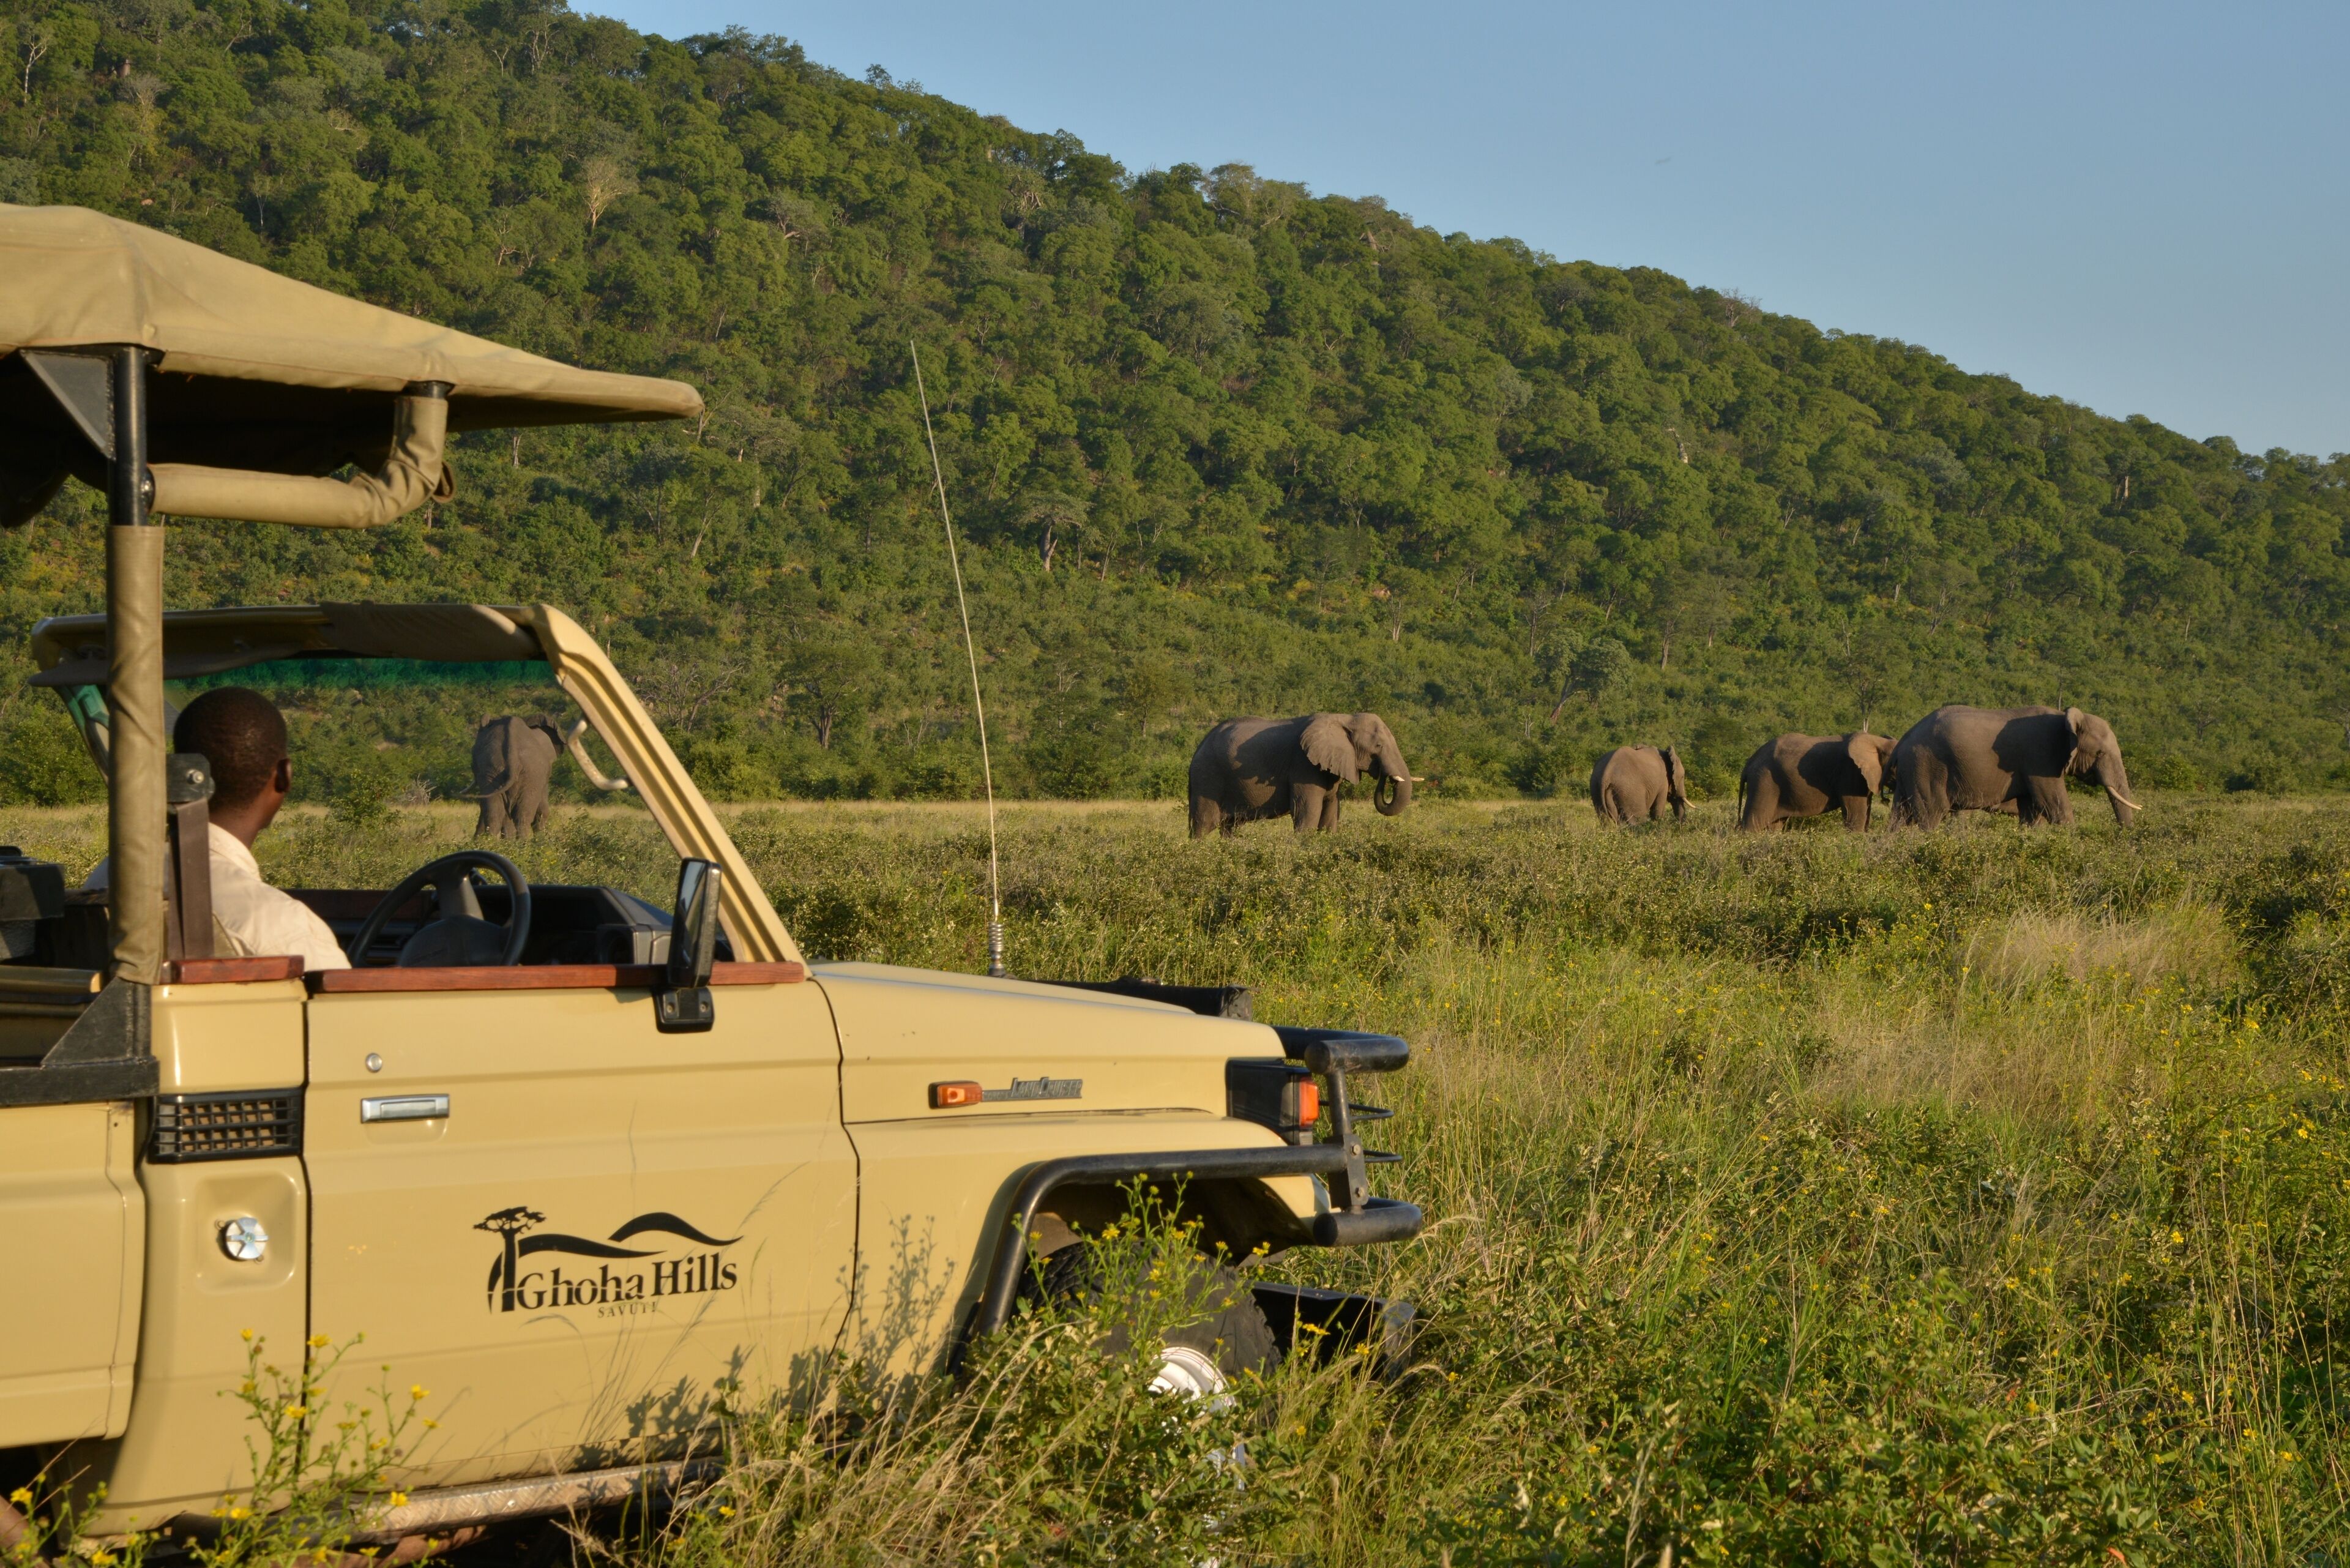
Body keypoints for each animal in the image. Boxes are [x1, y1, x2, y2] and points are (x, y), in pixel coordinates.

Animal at [466, 715, 631, 839]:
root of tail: (511, 749)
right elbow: (543, 809)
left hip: (496, 770)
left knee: (497, 813)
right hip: (524, 773)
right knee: (520, 816)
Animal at [1188, 713, 1413, 837]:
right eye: (1379, 746)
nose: (1385, 776)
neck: (1345, 718)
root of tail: (1200, 745)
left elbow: (1331, 812)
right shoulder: (1303, 765)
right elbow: (1306, 811)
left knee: (1230, 827)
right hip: (1207, 776)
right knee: (1202, 825)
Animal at [1590, 745, 1687, 824]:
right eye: (1683, 777)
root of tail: (1606, 776)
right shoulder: (1663, 781)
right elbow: (1658, 812)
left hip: (1597, 789)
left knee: (1606, 821)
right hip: (1630, 792)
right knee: (1637, 821)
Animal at [1738, 732, 1895, 832]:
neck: (1878, 741)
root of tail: (1749, 763)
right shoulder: (1850, 773)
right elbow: (1855, 816)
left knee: (1774, 826)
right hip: (1763, 782)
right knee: (1753, 824)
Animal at [1891, 705, 2143, 828]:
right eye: (2100, 753)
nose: (2125, 833)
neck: (2065, 717)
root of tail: (1904, 740)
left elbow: (2032, 811)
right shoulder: (2040, 757)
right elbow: (2053, 804)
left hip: (1911, 771)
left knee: (1900, 817)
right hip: (1927, 766)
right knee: (1931, 814)